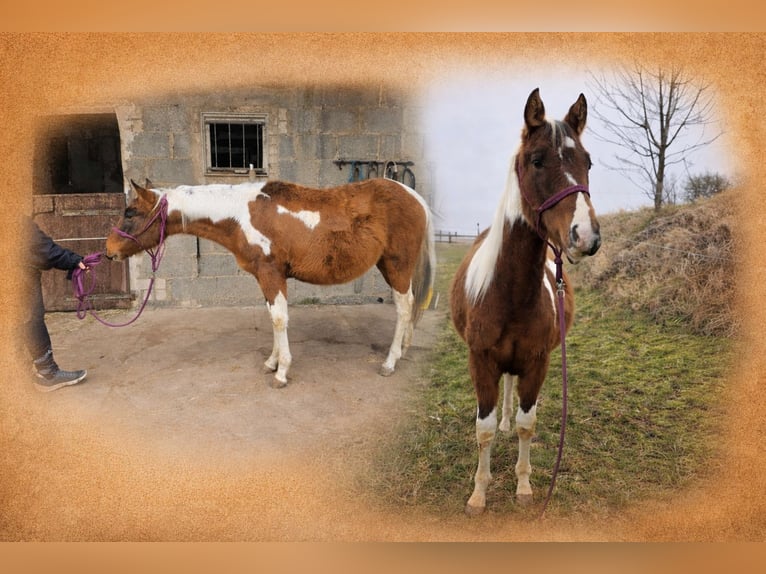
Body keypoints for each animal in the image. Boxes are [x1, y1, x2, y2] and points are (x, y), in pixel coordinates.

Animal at [105, 177, 435, 387]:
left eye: (130, 213)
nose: (109, 251)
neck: (240, 216)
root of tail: (414, 196)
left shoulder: (271, 273)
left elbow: (278, 318)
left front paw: (281, 372)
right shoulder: (267, 278)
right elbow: (273, 317)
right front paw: (272, 362)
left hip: (397, 265)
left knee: (403, 307)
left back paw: (390, 362)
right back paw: (403, 349)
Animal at [449, 88, 601, 515]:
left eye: (588, 162)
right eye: (536, 160)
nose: (585, 236)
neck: (510, 294)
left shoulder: (537, 362)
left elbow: (526, 424)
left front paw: (523, 486)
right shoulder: (480, 361)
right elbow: (483, 430)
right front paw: (479, 493)